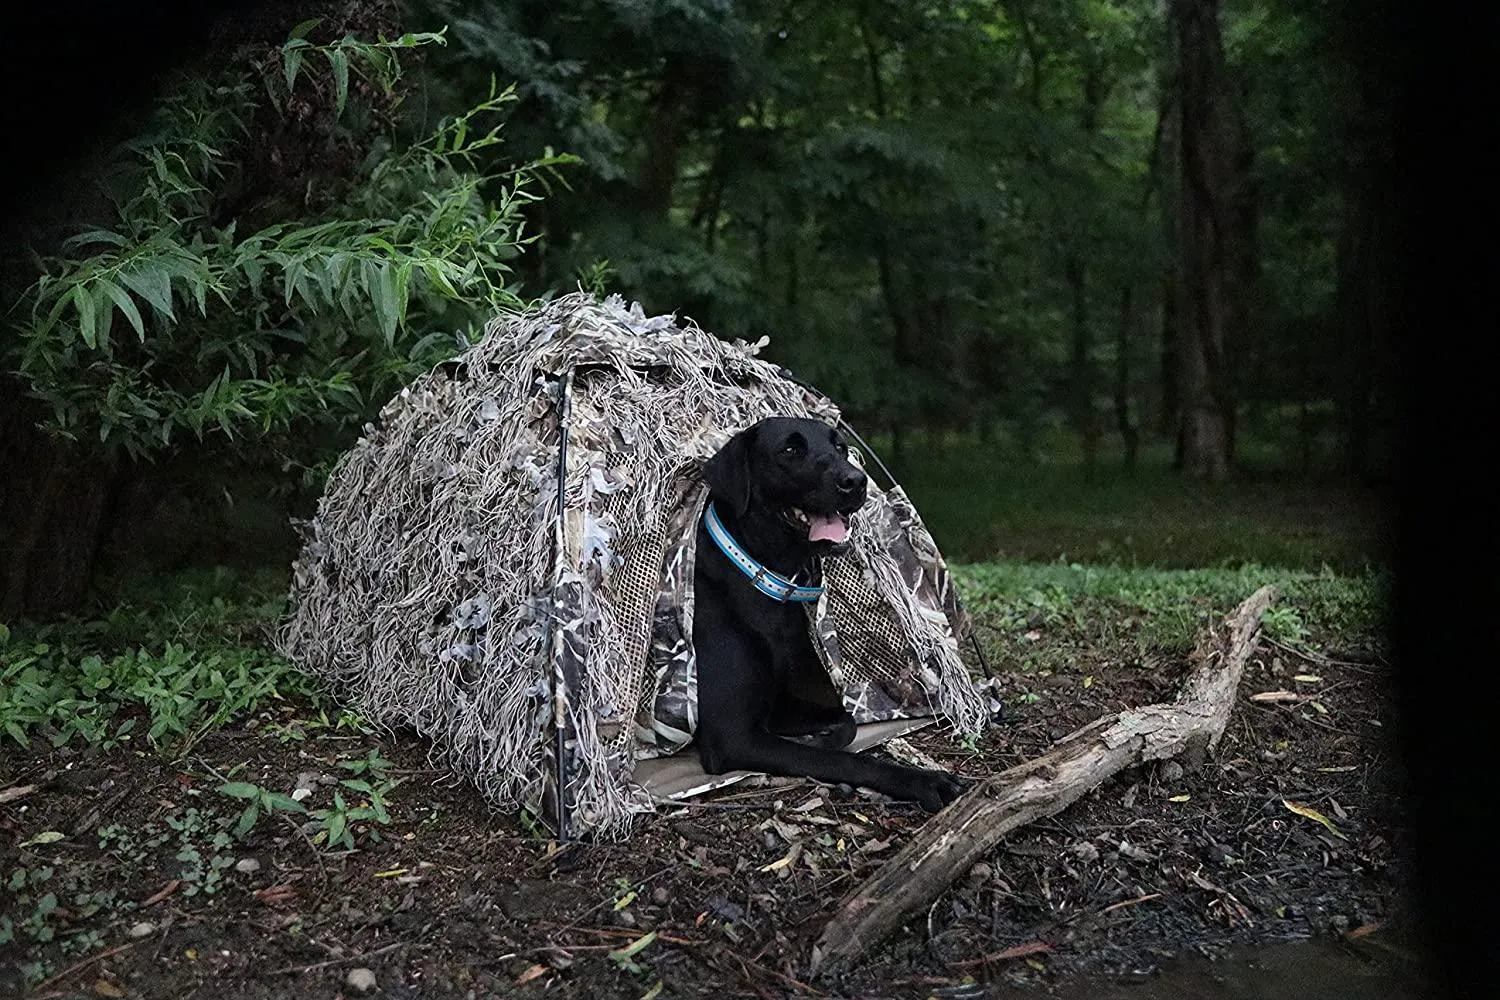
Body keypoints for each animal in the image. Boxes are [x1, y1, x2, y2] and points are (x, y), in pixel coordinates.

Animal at [687, 413, 960, 815]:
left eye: (840, 446)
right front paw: (925, 781)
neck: (766, 576)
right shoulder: (732, 735)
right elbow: (846, 758)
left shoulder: (782, 707)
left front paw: (822, 735)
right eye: (790, 449)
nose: (856, 481)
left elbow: (847, 721)